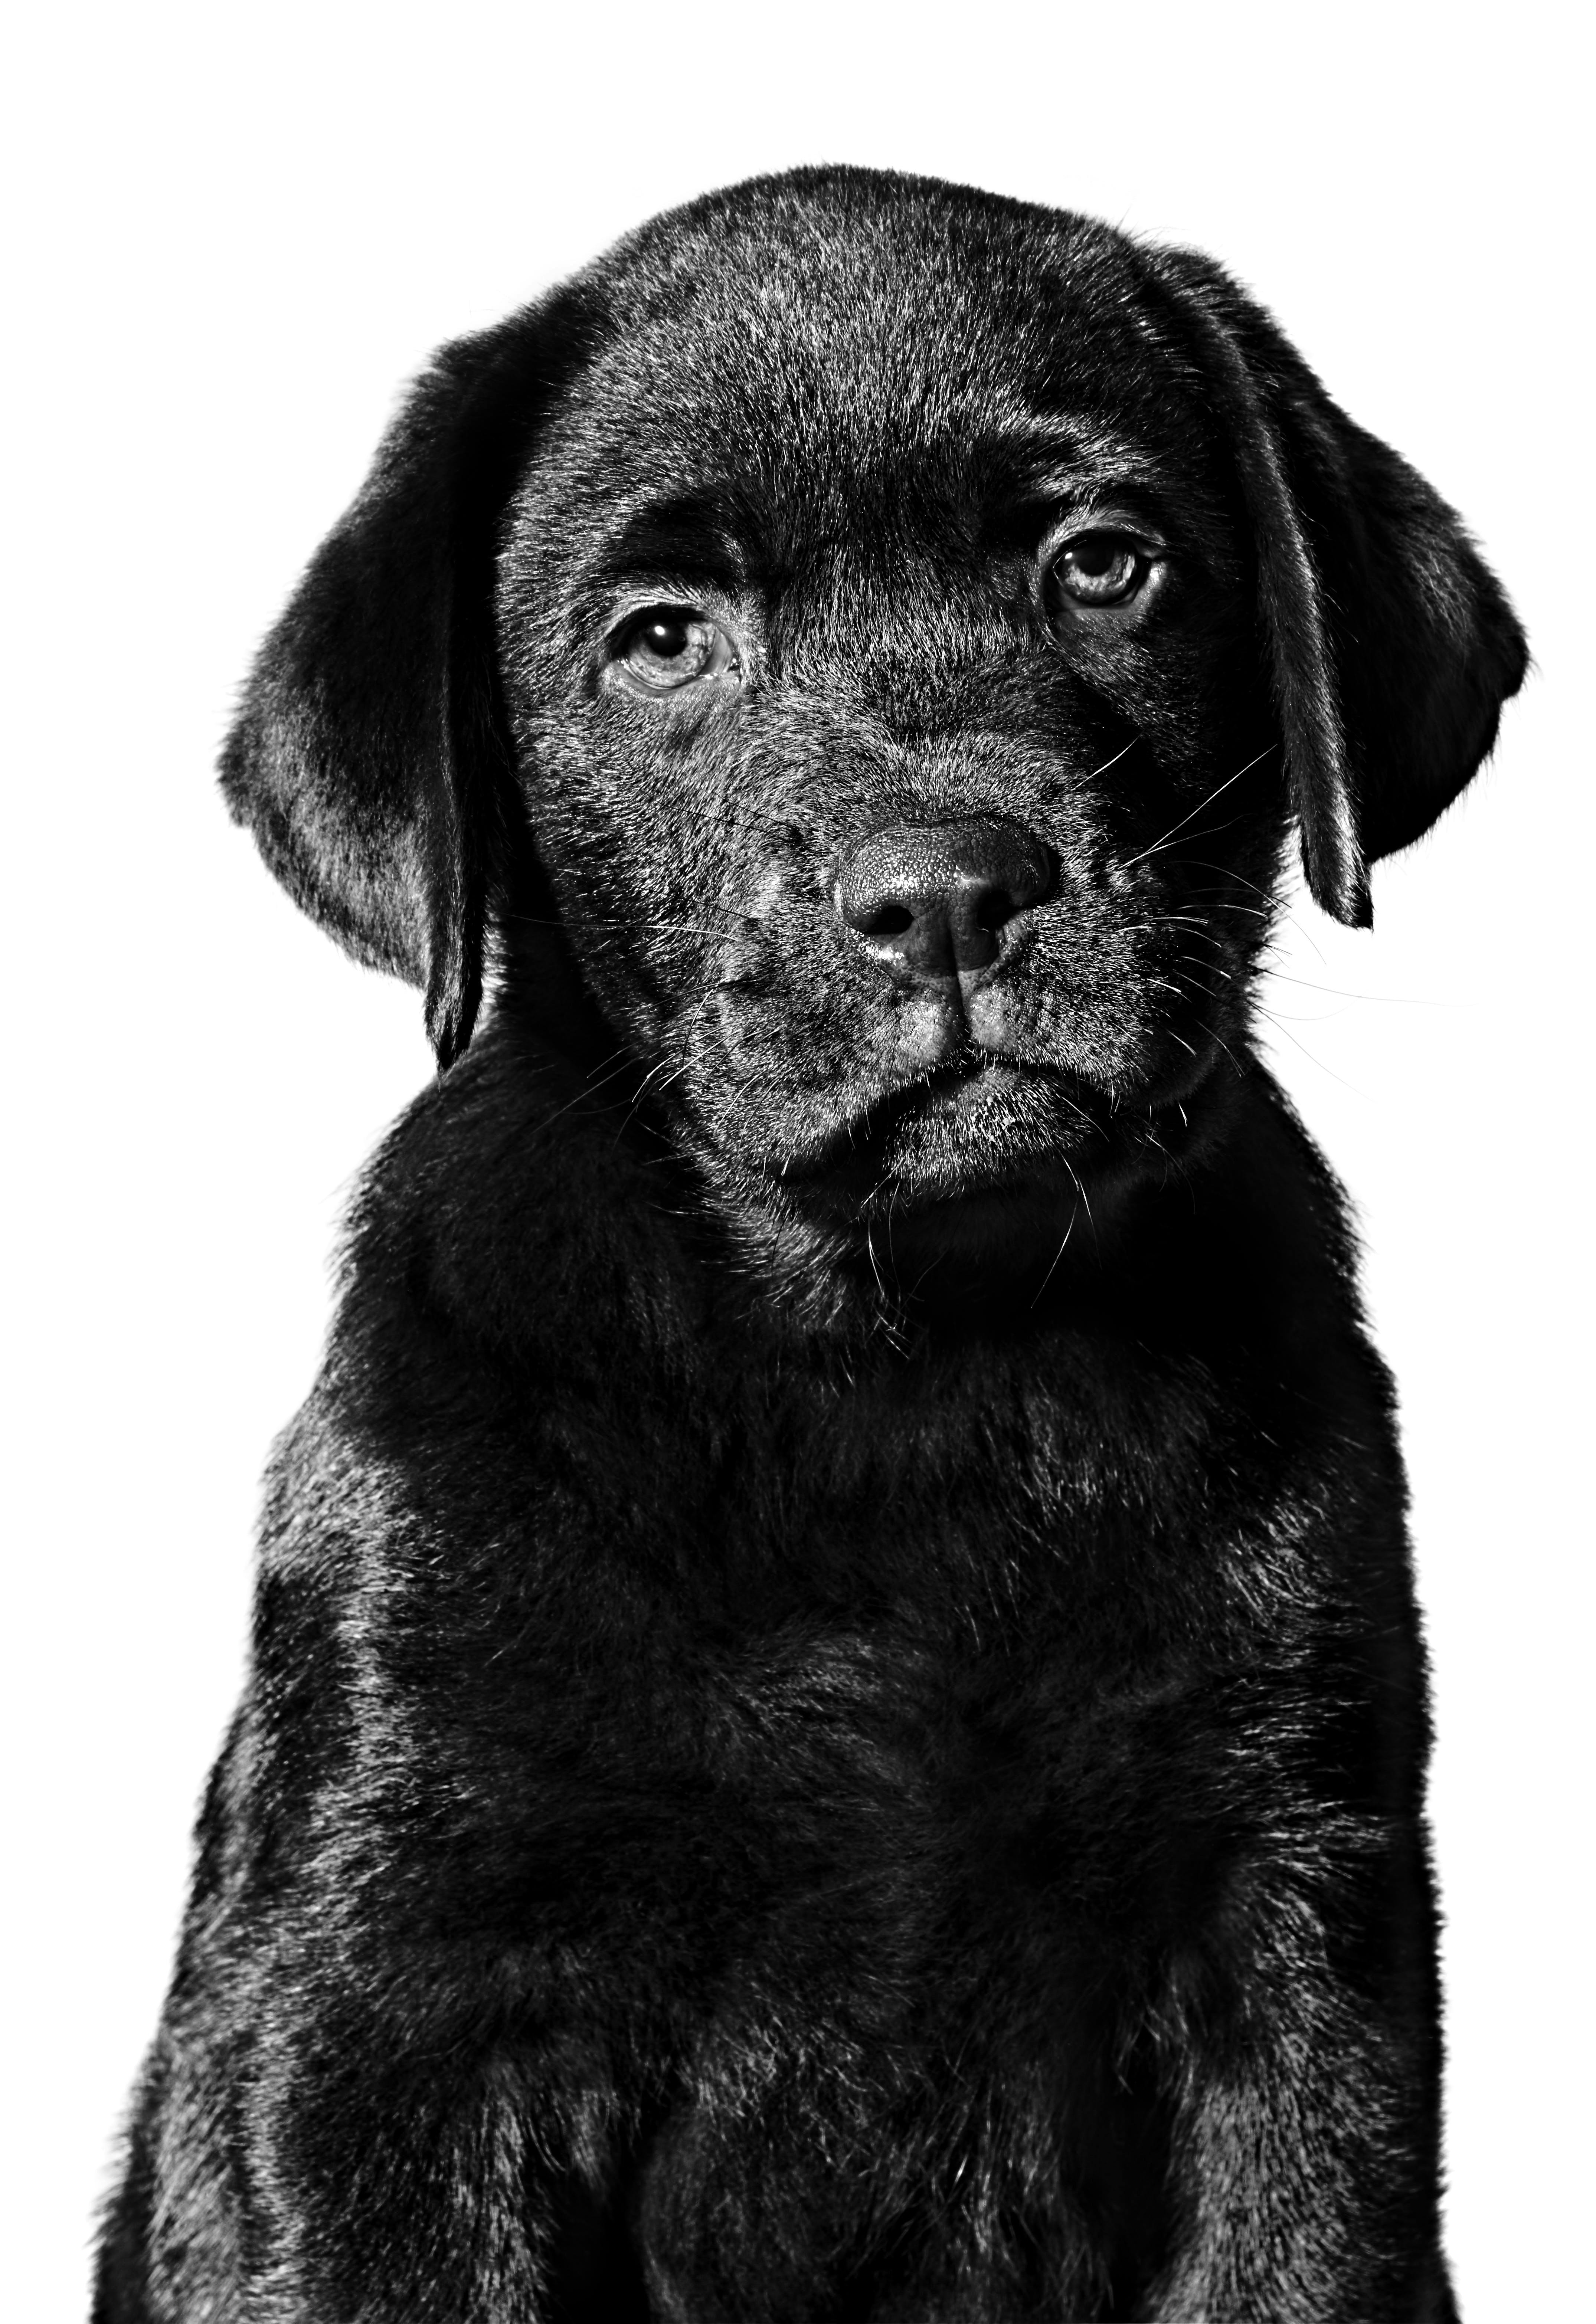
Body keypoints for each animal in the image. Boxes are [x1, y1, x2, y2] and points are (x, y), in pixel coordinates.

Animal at [97, 168, 1524, 2324]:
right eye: (661, 642)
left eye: (1104, 566)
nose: (944, 892)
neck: (899, 1354)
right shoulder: (376, 1992)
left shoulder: (1293, 1935)